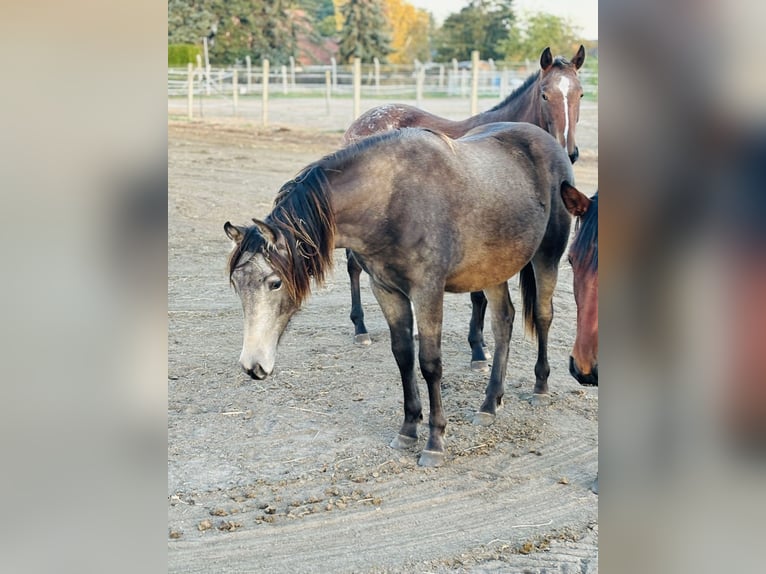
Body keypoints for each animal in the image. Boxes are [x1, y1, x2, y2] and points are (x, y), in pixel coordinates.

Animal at [225, 122, 592, 468]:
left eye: (274, 283)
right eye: (238, 284)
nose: (253, 366)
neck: (390, 199)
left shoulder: (427, 291)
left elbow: (430, 363)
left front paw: (435, 442)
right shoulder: (386, 290)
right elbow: (403, 355)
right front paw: (408, 429)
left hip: (546, 257)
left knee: (543, 315)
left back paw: (540, 388)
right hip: (493, 269)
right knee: (503, 322)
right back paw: (490, 403)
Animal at [342, 45, 588, 372]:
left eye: (581, 93)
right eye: (545, 94)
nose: (568, 150)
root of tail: (363, 120)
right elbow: (478, 298)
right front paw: (478, 351)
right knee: (353, 267)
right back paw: (360, 328)